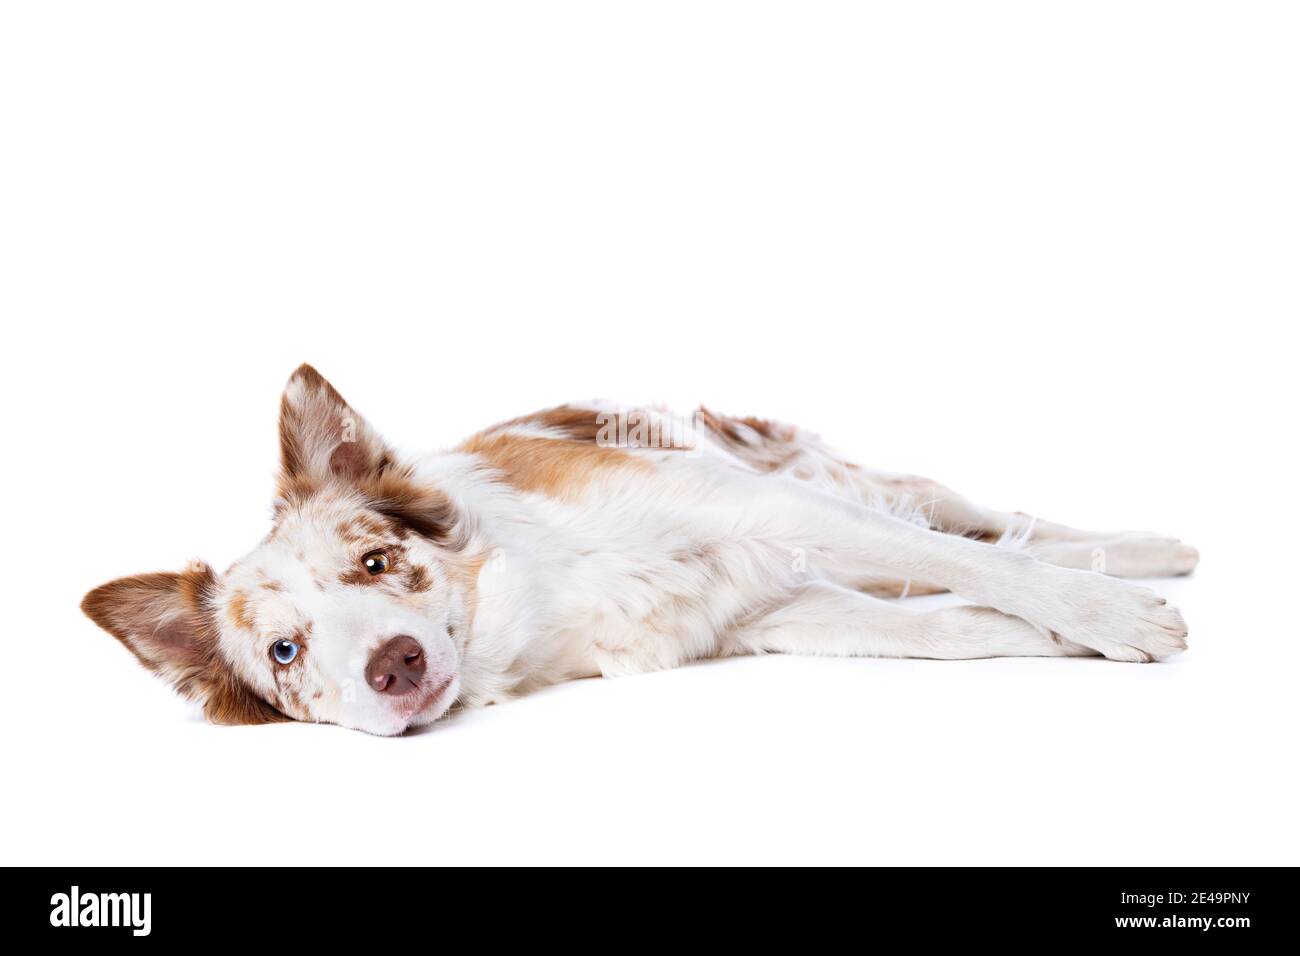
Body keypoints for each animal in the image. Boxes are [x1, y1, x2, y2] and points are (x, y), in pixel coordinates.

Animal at [81, 364, 1196, 733]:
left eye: (374, 562)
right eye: (285, 650)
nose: (393, 665)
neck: (534, 596)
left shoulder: (750, 505)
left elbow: (994, 565)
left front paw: (1111, 615)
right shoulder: (777, 611)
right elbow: (965, 620)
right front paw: (1074, 638)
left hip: (824, 480)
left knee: (980, 517)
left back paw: (1146, 551)